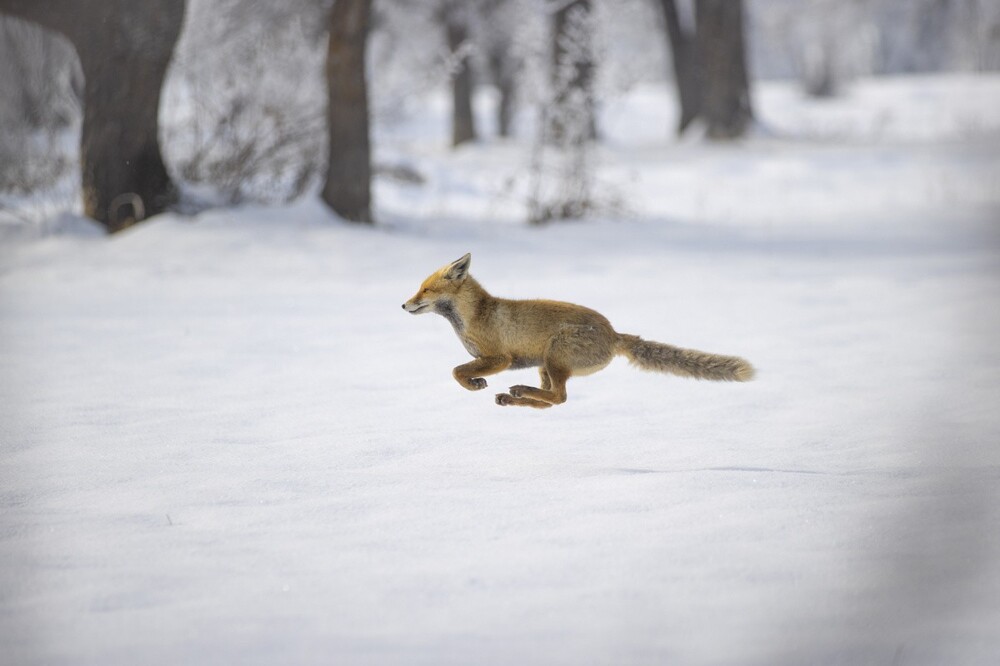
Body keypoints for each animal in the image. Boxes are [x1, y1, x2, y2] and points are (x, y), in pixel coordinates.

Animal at [402, 254, 752, 410]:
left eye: (425, 290)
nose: (404, 305)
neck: (473, 317)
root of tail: (614, 333)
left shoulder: (500, 358)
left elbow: (456, 371)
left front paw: (474, 384)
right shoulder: (496, 359)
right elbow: (458, 370)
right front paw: (478, 384)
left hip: (554, 356)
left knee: (559, 397)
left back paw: (517, 391)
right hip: (544, 364)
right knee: (552, 402)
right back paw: (514, 396)